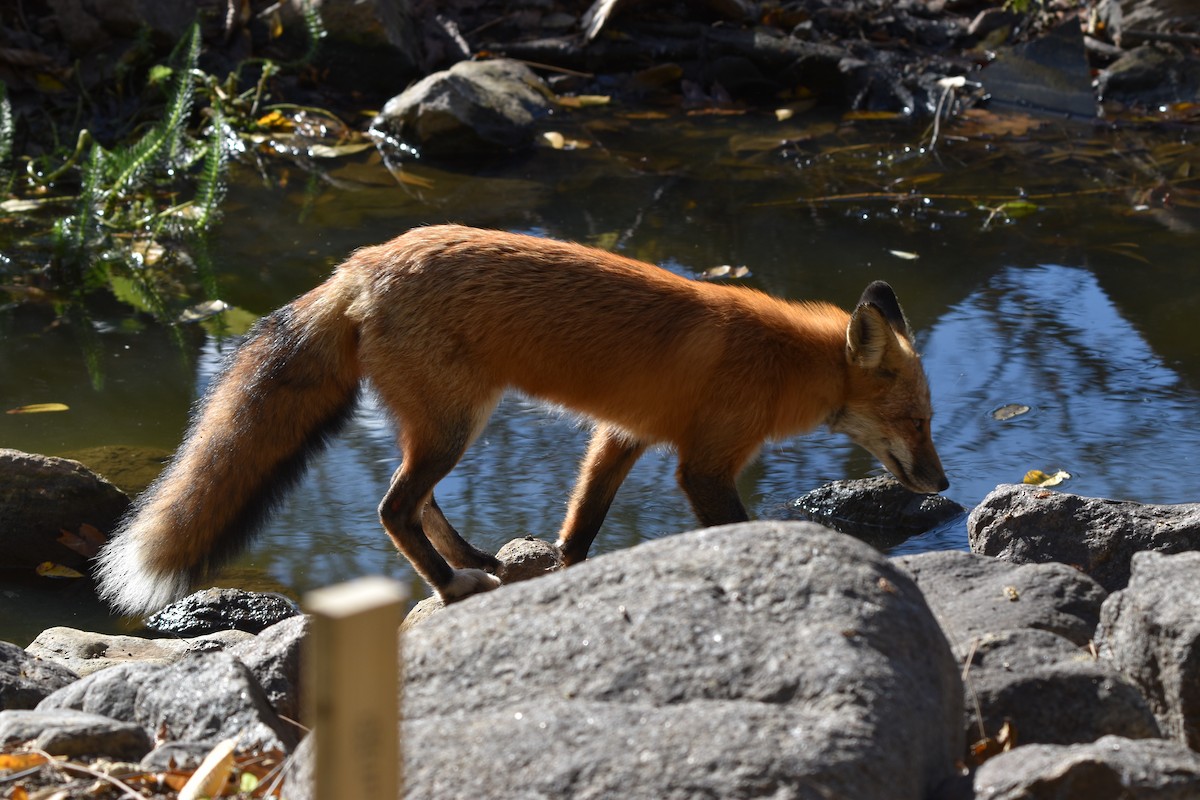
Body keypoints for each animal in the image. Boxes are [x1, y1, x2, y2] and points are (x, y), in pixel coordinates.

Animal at [94, 224, 948, 616]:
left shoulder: (622, 437)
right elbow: (730, 527)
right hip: (455, 426)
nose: (944, 483)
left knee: (421, 504)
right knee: (394, 508)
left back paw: (476, 560)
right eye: (915, 420)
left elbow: (582, 529)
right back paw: (450, 584)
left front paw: (567, 574)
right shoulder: (702, 465)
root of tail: (363, 262)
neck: (777, 360)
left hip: (442, 426)